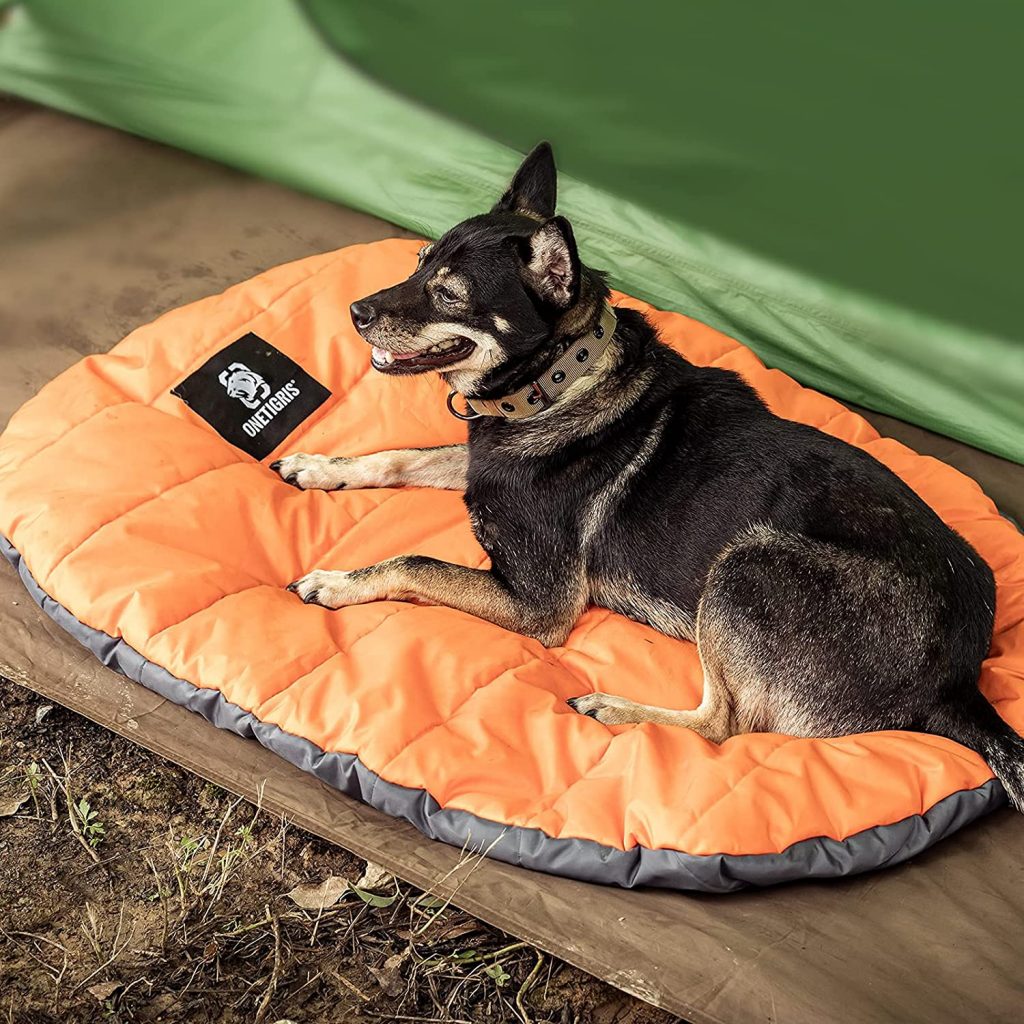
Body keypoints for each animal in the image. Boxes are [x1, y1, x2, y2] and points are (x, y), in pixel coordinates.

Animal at [272, 142, 1024, 806]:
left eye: (449, 295)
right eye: (418, 261)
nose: (356, 313)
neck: (559, 378)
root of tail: (959, 683)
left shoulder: (539, 604)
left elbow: (415, 562)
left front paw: (337, 581)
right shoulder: (478, 463)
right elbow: (400, 453)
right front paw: (318, 465)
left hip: (745, 564)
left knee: (723, 727)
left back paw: (612, 708)